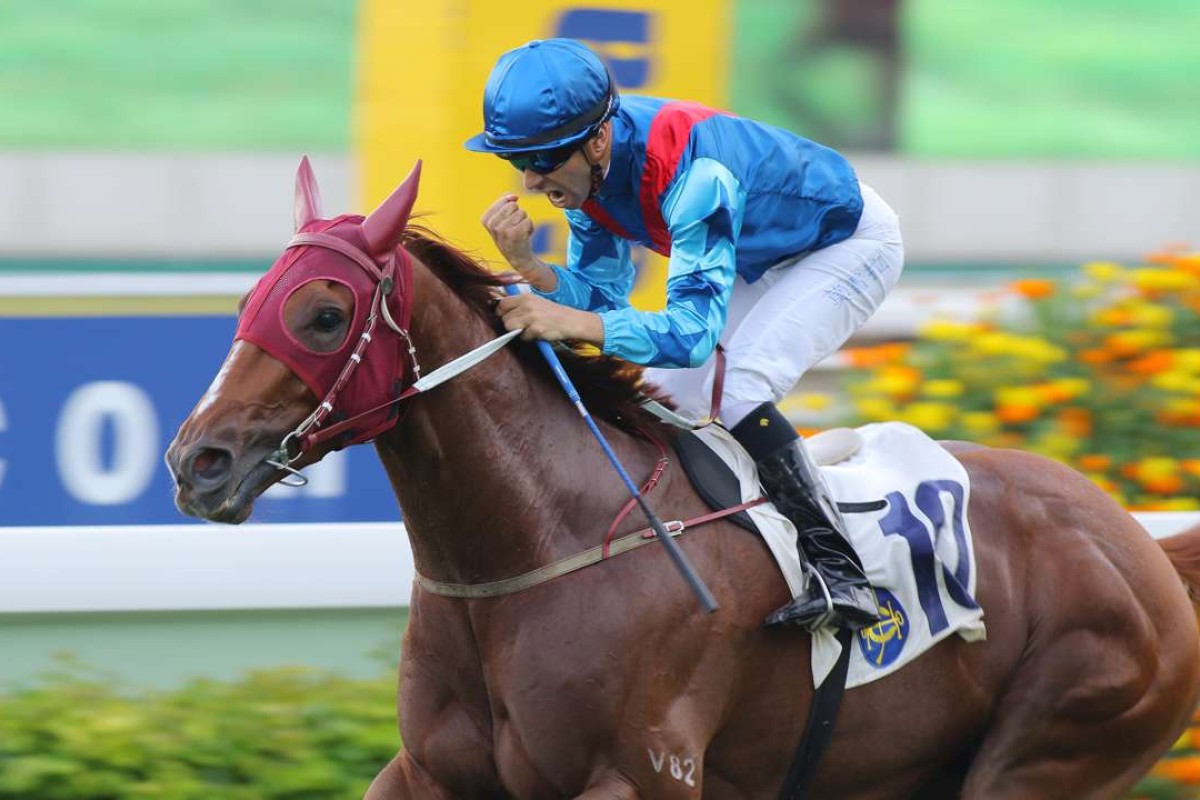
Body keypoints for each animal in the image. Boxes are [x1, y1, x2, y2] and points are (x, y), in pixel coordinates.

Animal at [166, 159, 1200, 796]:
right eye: (252, 298)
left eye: (325, 314)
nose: (195, 461)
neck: (540, 545)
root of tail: (1137, 543)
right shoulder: (427, 771)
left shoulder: (642, 773)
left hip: (1059, 742)